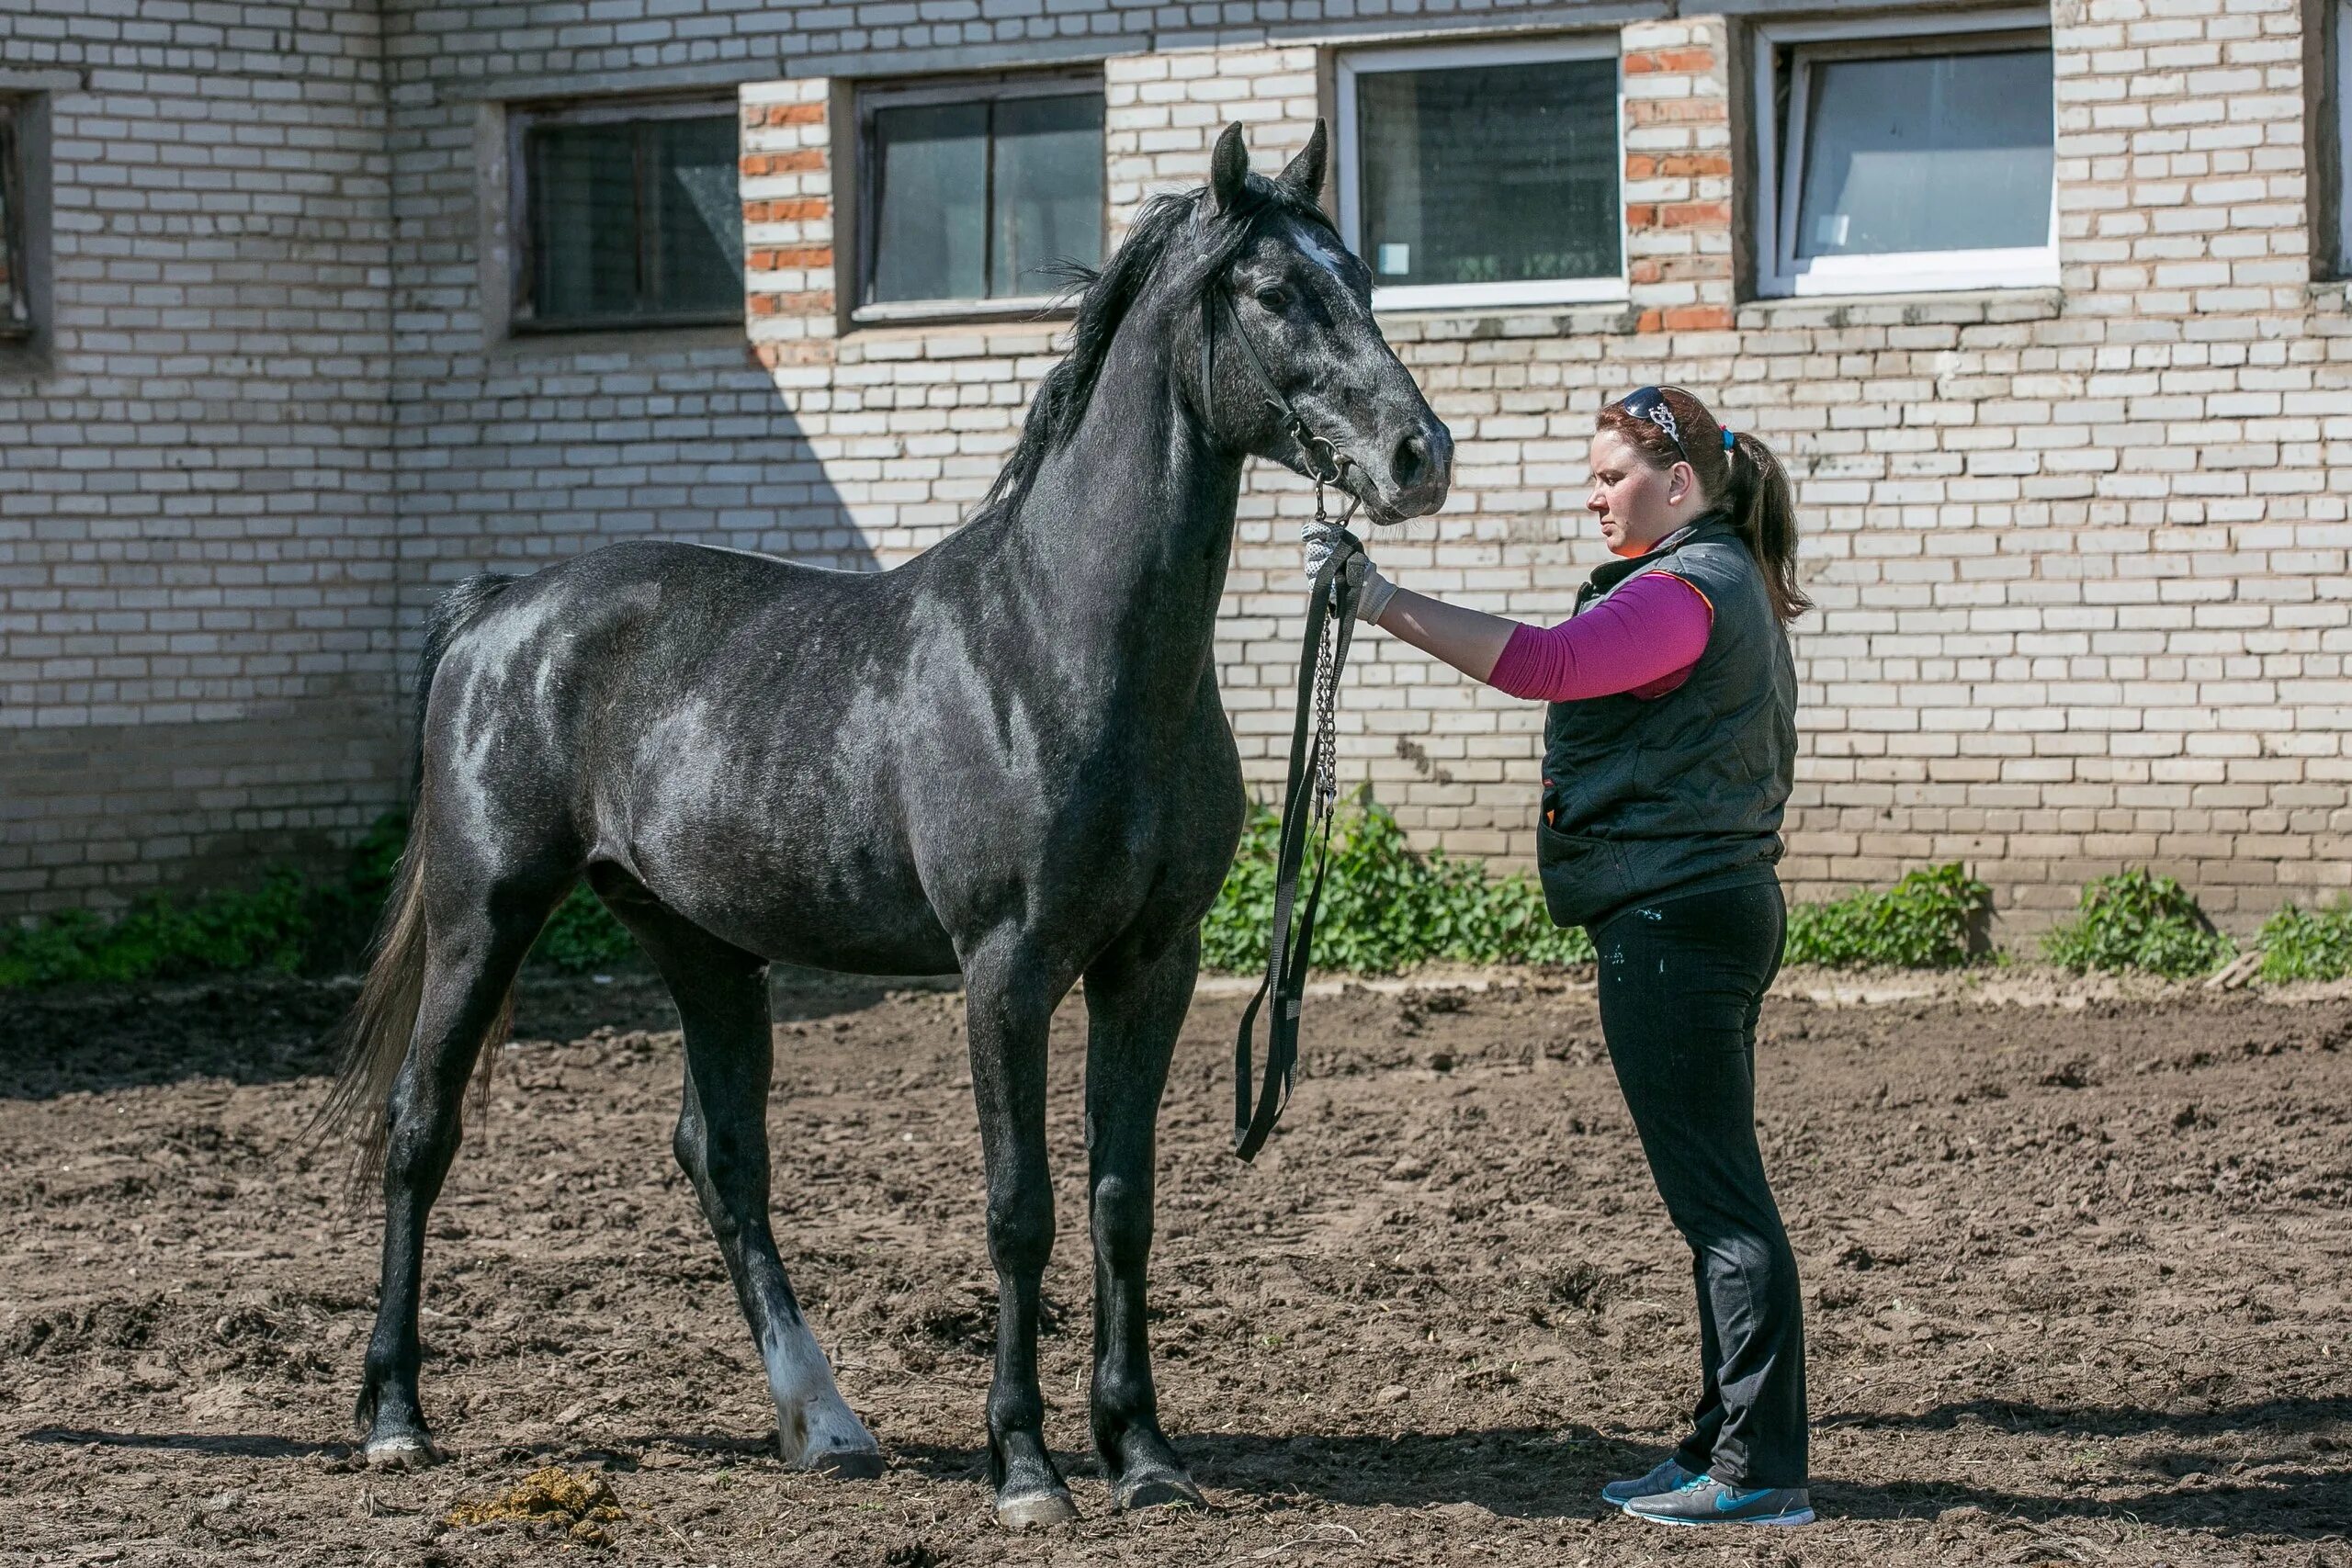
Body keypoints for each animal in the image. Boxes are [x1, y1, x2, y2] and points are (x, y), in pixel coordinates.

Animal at [317, 125, 1448, 1532]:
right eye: (1276, 291)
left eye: (1362, 278)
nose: (1418, 455)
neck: (1063, 646)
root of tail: (503, 604)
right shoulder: (1005, 968)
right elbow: (1021, 1209)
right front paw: (1025, 1467)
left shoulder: (1154, 963)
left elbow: (1120, 1201)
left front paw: (1143, 1454)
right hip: (488, 915)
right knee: (423, 1127)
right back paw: (394, 1418)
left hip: (702, 946)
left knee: (721, 1158)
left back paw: (826, 1423)